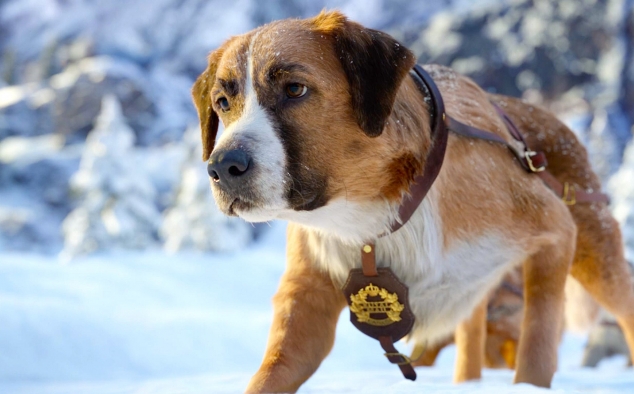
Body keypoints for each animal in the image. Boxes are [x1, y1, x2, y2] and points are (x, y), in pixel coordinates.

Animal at [190, 10, 632, 392]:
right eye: (222, 103)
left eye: (294, 89)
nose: (223, 166)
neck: (376, 213)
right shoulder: (308, 294)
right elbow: (275, 368)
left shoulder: (554, 232)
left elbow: (537, 344)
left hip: (594, 251)